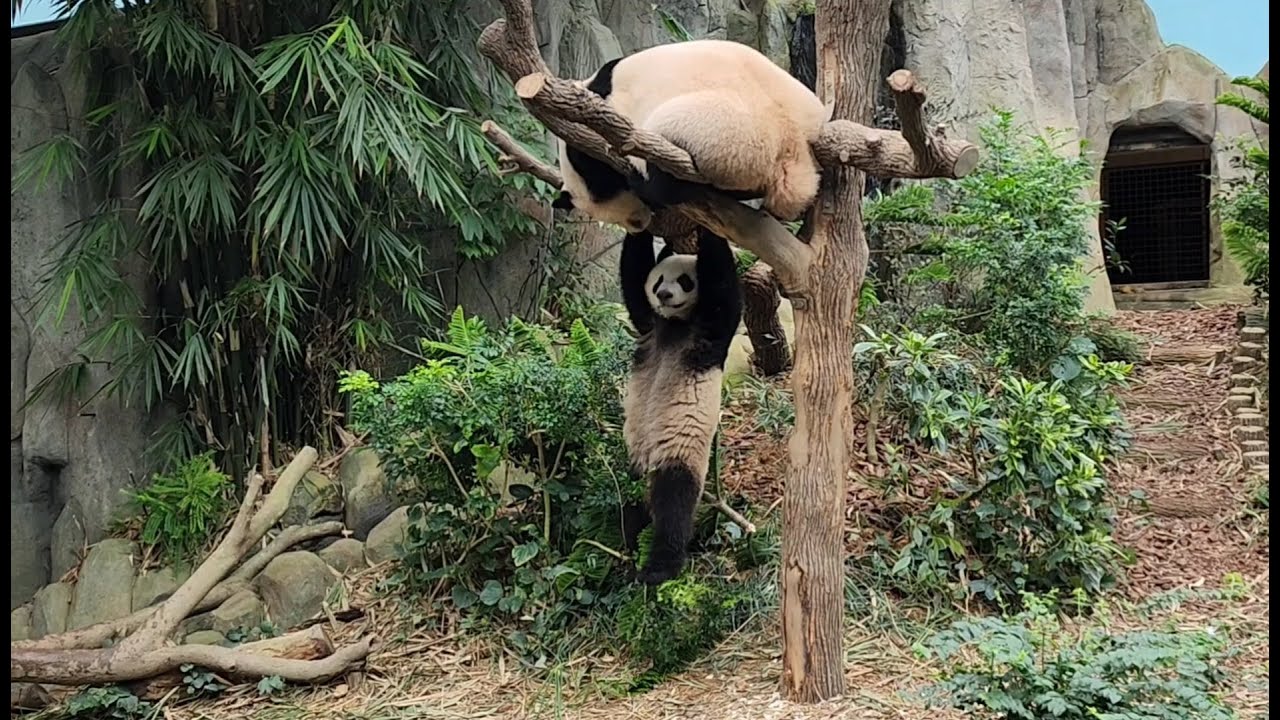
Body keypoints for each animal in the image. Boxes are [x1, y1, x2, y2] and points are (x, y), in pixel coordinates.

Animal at [618, 225, 743, 585]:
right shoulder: (649, 322)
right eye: (659, 280)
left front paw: (712, 228)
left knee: (673, 503)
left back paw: (659, 567)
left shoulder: (710, 332)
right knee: (631, 502)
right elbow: (634, 276)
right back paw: (627, 541)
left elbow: (723, 288)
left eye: (685, 281)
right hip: (635, 462)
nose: (664, 295)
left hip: (679, 452)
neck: (675, 323)